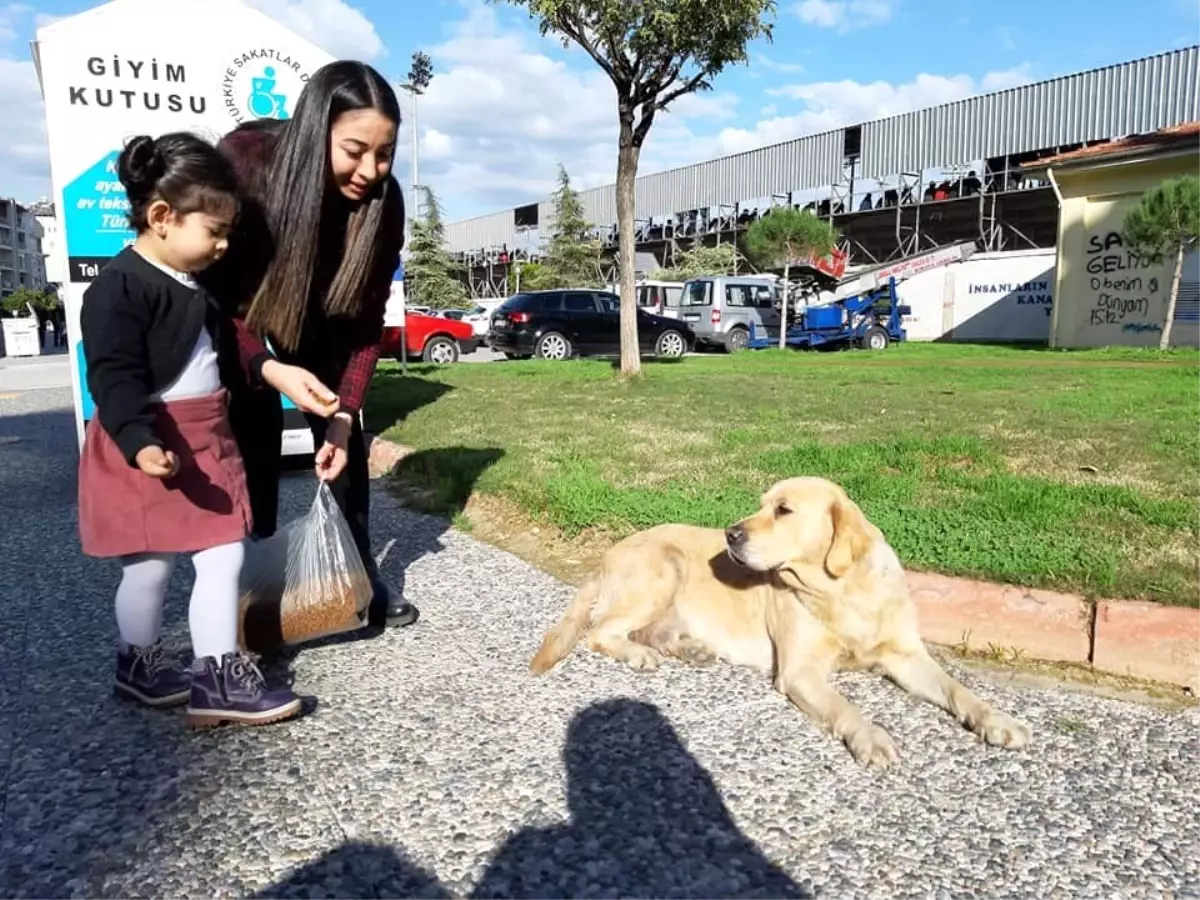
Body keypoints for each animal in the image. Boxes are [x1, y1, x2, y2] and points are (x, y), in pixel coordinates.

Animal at [532, 475, 1032, 772]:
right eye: (760, 506)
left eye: (784, 510)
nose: (731, 534)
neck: (842, 591)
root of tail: (606, 556)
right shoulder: (800, 671)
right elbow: (844, 707)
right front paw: (870, 736)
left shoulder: (907, 657)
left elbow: (958, 690)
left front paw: (998, 719)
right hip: (663, 568)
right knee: (600, 631)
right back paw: (638, 654)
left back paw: (688, 648)